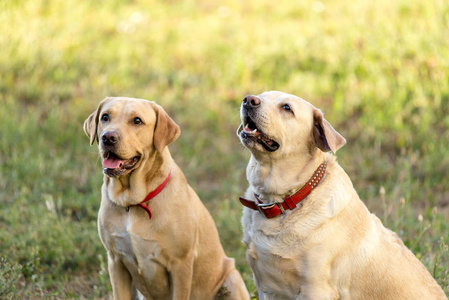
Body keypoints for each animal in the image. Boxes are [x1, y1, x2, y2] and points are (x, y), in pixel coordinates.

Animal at [83, 97, 248, 298]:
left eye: (137, 121)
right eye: (105, 117)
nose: (108, 137)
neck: (135, 201)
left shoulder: (181, 265)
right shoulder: (116, 262)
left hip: (232, 278)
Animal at [236, 91, 442, 300]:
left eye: (287, 108)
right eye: (261, 95)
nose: (248, 100)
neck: (282, 201)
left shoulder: (315, 289)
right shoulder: (266, 287)